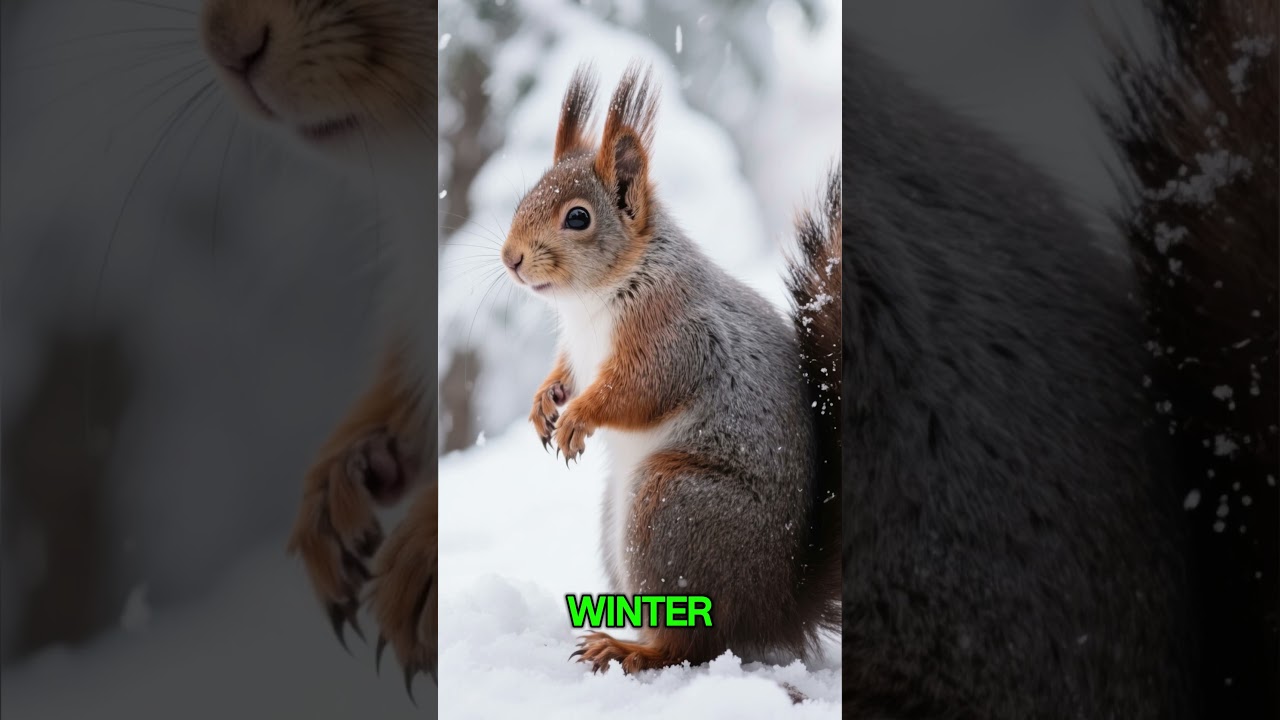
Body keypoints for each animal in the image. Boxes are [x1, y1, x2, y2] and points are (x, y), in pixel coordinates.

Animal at [500, 62, 841, 673]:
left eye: (578, 217)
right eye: (525, 197)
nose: (510, 258)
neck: (593, 298)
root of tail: (774, 609)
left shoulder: (675, 338)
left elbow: (636, 391)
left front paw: (578, 417)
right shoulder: (578, 349)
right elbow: (565, 373)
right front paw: (545, 402)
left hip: (669, 505)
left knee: (692, 646)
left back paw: (627, 649)